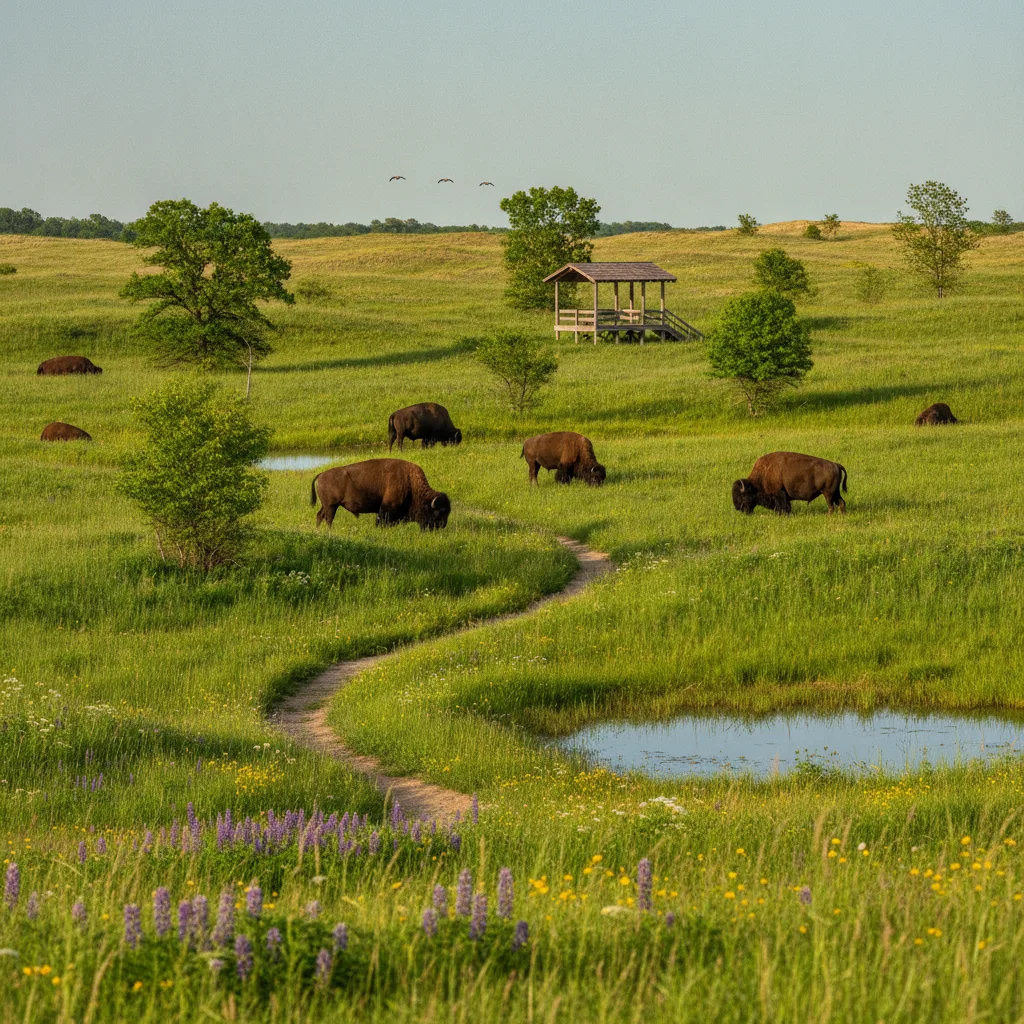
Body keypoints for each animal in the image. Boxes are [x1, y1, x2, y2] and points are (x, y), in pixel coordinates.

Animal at [311, 458, 451, 530]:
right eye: (439, 512)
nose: (442, 526)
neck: (409, 480)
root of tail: (321, 474)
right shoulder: (387, 507)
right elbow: (381, 519)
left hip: (327, 506)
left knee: (320, 515)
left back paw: (318, 530)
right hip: (331, 506)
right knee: (328, 518)